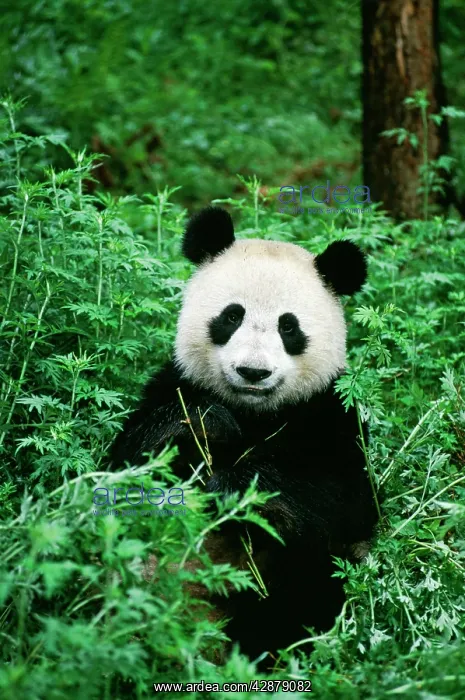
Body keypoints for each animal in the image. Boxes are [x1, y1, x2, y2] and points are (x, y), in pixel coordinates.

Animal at [110, 206, 378, 662]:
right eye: (232, 316)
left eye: (289, 327)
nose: (253, 372)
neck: (254, 413)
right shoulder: (173, 384)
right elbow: (125, 461)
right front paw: (207, 425)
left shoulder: (331, 414)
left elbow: (344, 498)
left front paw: (235, 488)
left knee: (306, 591)